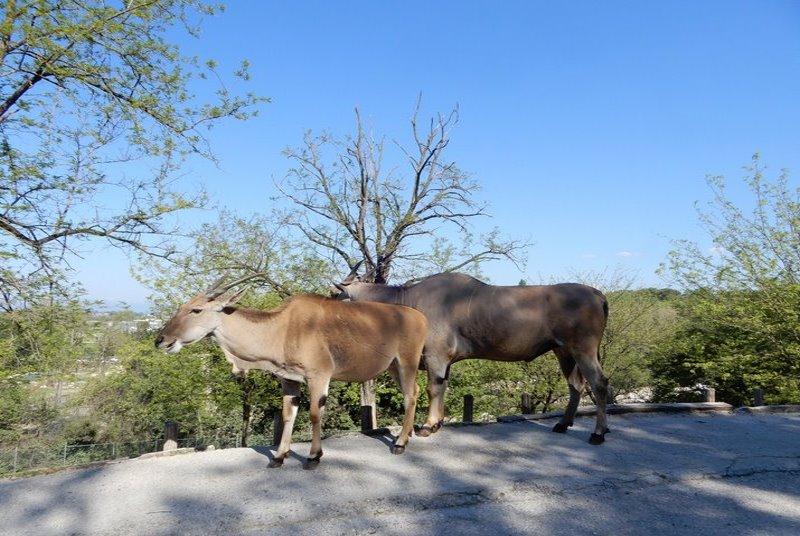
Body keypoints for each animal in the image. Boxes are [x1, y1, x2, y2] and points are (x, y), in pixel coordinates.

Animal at [155, 277, 428, 469]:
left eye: (196, 310)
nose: (161, 340)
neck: (281, 329)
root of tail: (419, 316)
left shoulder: (318, 377)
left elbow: (315, 415)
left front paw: (313, 456)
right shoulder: (289, 381)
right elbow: (288, 415)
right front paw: (279, 456)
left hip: (406, 362)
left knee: (411, 394)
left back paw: (400, 443)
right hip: (393, 367)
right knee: (413, 391)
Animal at [335, 270, 611, 444]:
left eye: (336, 295)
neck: (406, 298)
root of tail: (598, 294)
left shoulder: (435, 356)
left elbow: (433, 389)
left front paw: (427, 426)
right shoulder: (443, 362)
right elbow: (442, 387)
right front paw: (437, 423)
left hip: (583, 351)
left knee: (599, 383)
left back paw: (598, 434)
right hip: (564, 352)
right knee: (576, 385)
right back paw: (564, 424)